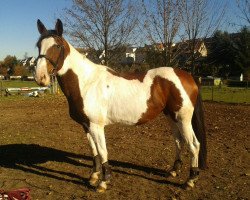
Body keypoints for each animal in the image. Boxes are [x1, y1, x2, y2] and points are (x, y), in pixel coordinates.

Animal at [35, 19, 207, 193]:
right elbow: (94, 151)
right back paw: (173, 171)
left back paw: (190, 180)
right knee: (179, 142)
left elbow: (102, 152)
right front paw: (93, 177)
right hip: (172, 117)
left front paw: (103, 182)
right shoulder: (86, 125)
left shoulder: (96, 126)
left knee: (194, 145)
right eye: (38, 45)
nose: (40, 77)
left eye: (57, 46)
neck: (87, 82)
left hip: (183, 119)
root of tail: (188, 76)